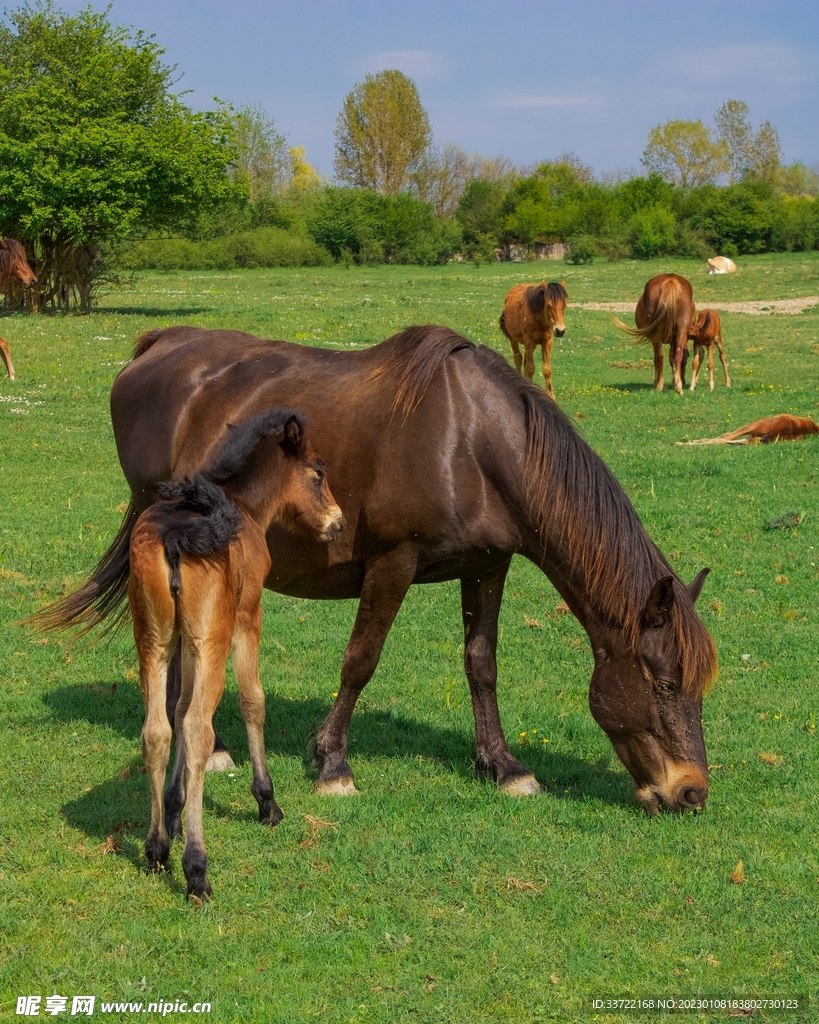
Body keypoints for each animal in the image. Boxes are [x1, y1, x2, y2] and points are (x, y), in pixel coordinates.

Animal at [34, 324, 717, 817]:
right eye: (663, 683)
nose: (691, 792)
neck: (473, 442)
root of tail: (158, 345)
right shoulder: (394, 562)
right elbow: (361, 660)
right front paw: (332, 763)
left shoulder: (488, 566)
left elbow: (481, 664)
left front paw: (503, 766)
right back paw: (218, 746)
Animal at [129, 409, 343, 900]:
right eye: (319, 472)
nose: (338, 523)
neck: (242, 505)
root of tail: (177, 534)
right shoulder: (247, 617)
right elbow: (252, 702)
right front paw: (267, 802)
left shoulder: (183, 641)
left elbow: (177, 707)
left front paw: (173, 809)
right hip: (213, 640)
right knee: (198, 728)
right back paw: (196, 868)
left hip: (154, 640)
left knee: (159, 729)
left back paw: (157, 847)